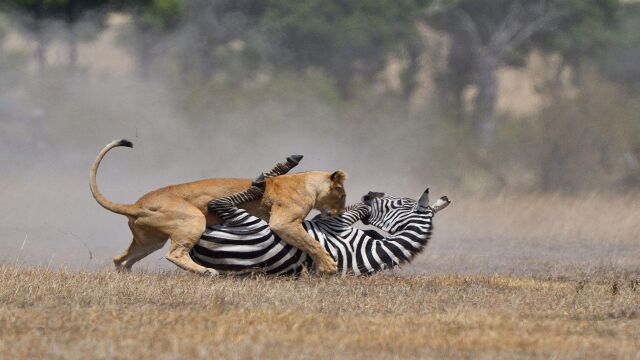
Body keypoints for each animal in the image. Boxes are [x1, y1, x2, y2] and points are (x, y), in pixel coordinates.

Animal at [90, 139, 344, 274]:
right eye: (342, 196)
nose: (340, 213)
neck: (308, 182)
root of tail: (136, 205)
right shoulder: (284, 223)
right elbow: (311, 243)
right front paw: (329, 266)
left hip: (150, 240)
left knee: (121, 259)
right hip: (193, 219)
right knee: (175, 254)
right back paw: (207, 272)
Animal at [190, 167, 450, 274]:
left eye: (401, 203)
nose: (369, 193)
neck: (371, 251)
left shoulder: (335, 226)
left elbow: (350, 213)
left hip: (250, 223)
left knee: (220, 204)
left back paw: (263, 180)